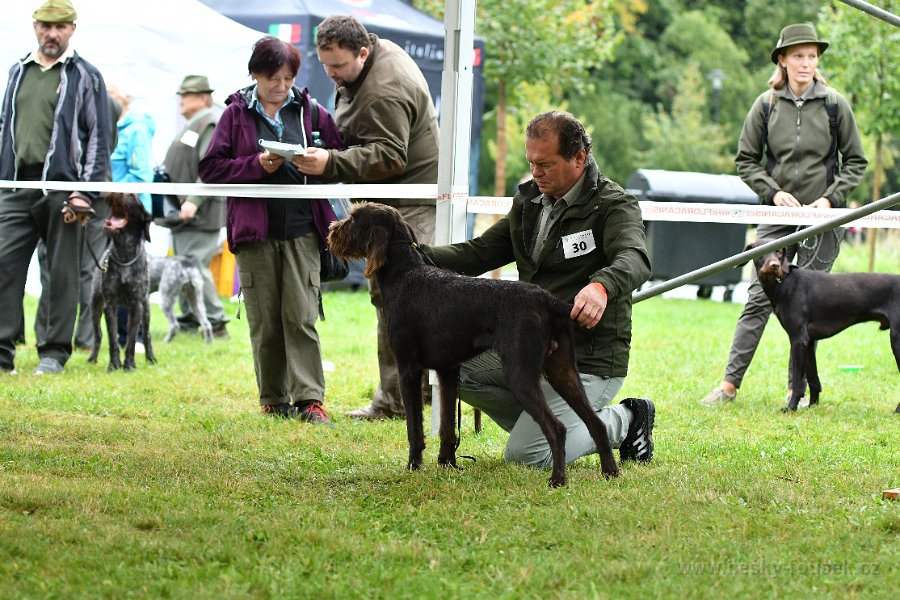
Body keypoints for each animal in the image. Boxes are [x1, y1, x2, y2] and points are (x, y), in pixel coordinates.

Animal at [88, 192, 158, 370]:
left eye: (132, 196)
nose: (113, 193)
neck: (125, 254)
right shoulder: (109, 304)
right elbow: (112, 338)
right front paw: (114, 365)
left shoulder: (137, 305)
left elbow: (131, 339)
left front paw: (129, 365)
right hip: (95, 305)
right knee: (98, 334)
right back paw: (92, 358)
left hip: (146, 308)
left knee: (147, 334)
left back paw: (151, 358)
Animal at [752, 241, 900, 410]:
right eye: (761, 252)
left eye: (778, 252)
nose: (774, 265)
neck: (784, 282)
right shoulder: (808, 342)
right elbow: (813, 380)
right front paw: (812, 405)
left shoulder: (798, 340)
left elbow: (797, 382)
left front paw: (791, 407)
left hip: (897, 340)